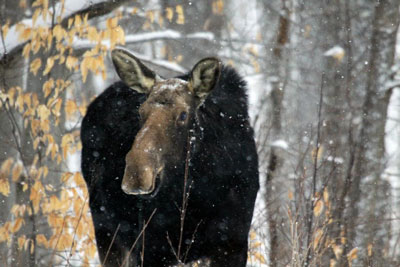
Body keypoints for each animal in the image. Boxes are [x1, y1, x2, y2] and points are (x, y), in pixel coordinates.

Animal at [80, 48, 260, 267]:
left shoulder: (233, 244)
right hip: (107, 231)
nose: (137, 174)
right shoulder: (151, 249)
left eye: (183, 115)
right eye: (140, 112)